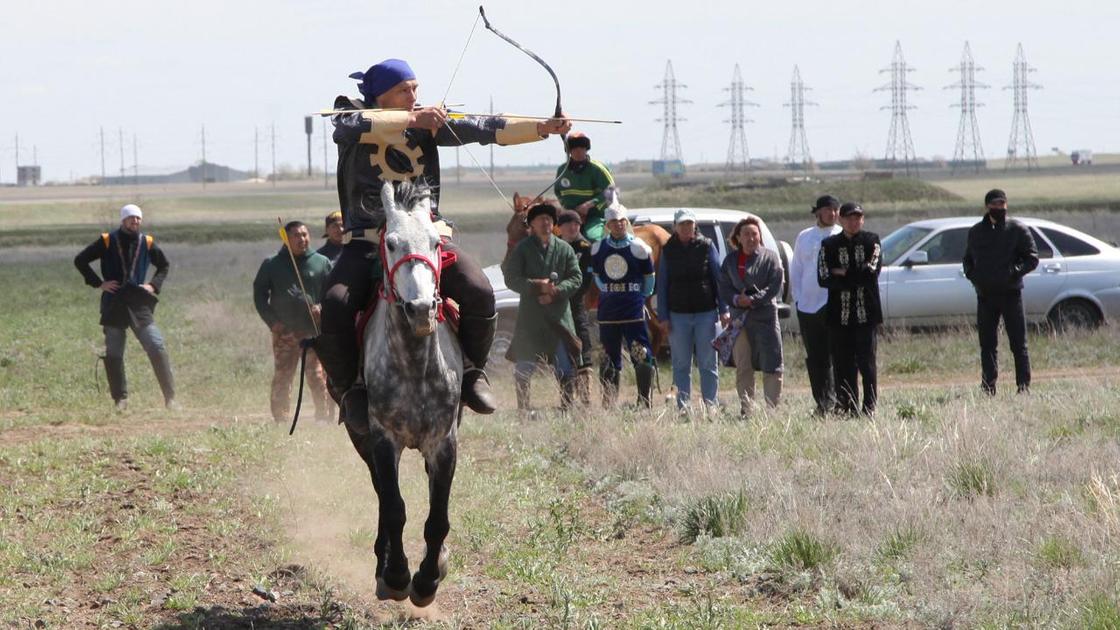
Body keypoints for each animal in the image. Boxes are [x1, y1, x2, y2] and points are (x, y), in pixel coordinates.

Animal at [342, 179, 461, 605]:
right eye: (391, 243)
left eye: (436, 243)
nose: (421, 308)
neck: (414, 368)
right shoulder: (382, 438)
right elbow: (393, 507)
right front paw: (396, 575)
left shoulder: (444, 441)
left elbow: (437, 517)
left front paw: (428, 578)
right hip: (359, 436)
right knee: (381, 493)